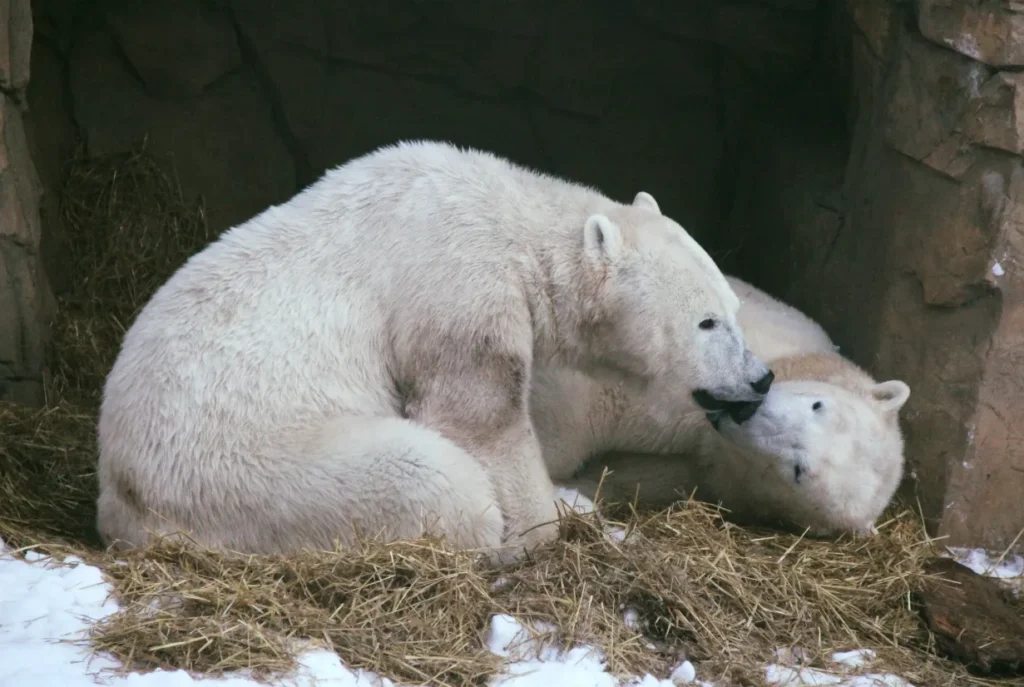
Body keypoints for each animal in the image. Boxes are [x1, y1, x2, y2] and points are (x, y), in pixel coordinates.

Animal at [95, 140, 774, 563]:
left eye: (734, 309)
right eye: (706, 321)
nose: (761, 378)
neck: (511, 218)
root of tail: (119, 500)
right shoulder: (457, 280)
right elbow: (478, 414)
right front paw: (535, 526)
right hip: (244, 469)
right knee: (424, 475)